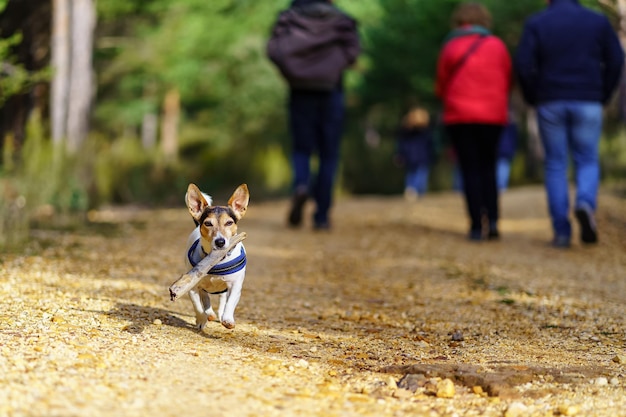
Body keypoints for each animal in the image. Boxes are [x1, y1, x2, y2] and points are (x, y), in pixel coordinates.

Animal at [183, 184, 249, 330]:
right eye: (208, 223)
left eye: (229, 223)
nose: (220, 242)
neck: (216, 261)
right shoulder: (192, 288)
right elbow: (198, 306)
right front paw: (202, 319)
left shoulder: (235, 285)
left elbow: (230, 302)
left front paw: (228, 318)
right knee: (205, 297)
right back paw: (209, 314)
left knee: (222, 299)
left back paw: (220, 314)